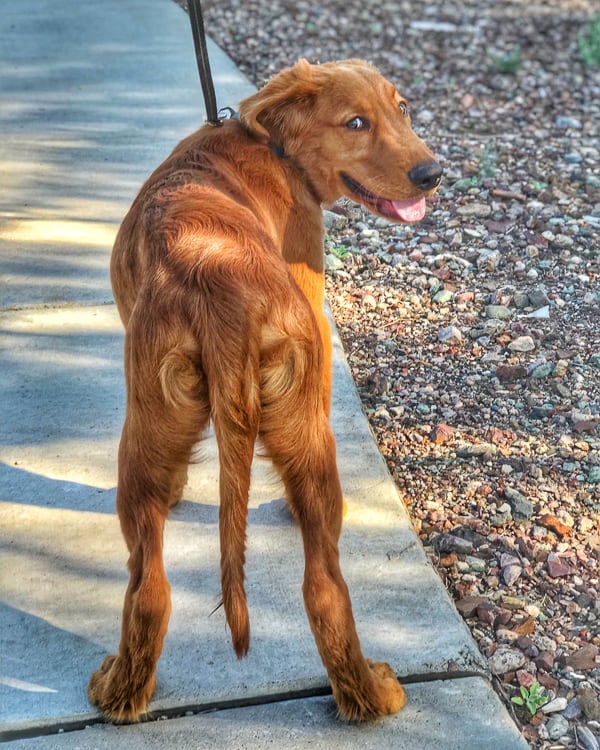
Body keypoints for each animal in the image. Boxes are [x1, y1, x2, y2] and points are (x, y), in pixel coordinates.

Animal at [90, 57, 446, 724]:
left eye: (403, 108)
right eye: (355, 123)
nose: (432, 174)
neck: (272, 147)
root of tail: (217, 282)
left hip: (146, 428)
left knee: (150, 586)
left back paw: (122, 695)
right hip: (300, 431)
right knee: (321, 586)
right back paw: (369, 696)